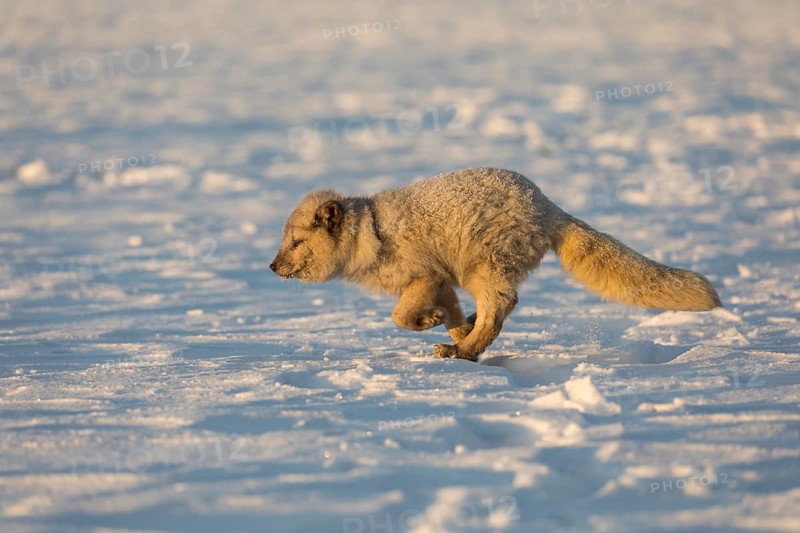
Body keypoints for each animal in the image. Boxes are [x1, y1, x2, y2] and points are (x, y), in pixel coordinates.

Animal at [270, 167, 721, 362]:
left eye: (295, 242)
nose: (271, 268)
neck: (372, 232)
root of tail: (547, 204)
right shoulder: (442, 282)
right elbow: (446, 312)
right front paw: (450, 326)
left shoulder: (426, 276)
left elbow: (399, 316)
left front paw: (431, 324)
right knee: (504, 307)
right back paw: (465, 344)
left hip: (483, 265)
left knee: (500, 308)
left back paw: (465, 351)